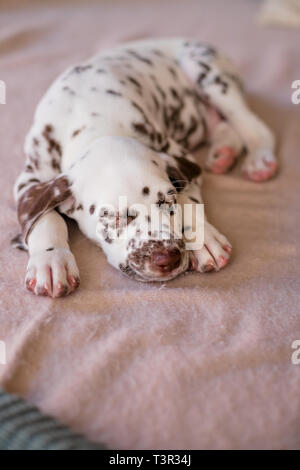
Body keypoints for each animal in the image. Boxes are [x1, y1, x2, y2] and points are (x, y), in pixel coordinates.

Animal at [13, 37, 276, 298]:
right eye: (115, 217)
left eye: (169, 201)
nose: (168, 258)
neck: (91, 122)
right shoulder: (31, 177)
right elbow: (44, 217)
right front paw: (51, 260)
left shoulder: (177, 154)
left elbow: (189, 198)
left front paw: (203, 237)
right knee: (225, 127)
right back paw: (224, 152)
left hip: (207, 73)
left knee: (252, 126)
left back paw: (259, 159)